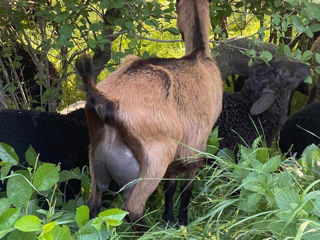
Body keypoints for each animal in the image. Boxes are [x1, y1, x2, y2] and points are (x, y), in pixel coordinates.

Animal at [76, 0, 222, 232]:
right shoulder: (195, 147)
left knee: (93, 204)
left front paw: (169, 219)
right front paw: (182, 223)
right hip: (154, 159)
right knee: (133, 208)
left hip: (96, 162)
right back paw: (152, 231)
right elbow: (186, 189)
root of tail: (107, 102)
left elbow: (170, 187)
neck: (199, 55)